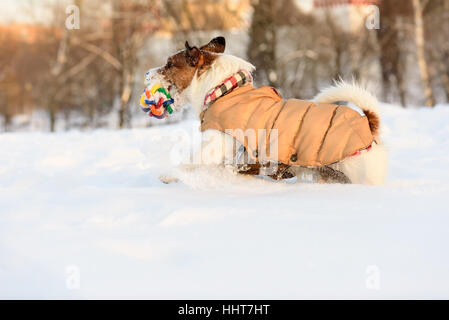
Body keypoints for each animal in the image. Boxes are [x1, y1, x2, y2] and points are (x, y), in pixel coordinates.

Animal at [146, 37, 384, 185]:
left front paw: (170, 175)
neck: (224, 91)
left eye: (169, 64)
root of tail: (367, 123)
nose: (147, 73)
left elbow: (190, 161)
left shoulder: (217, 143)